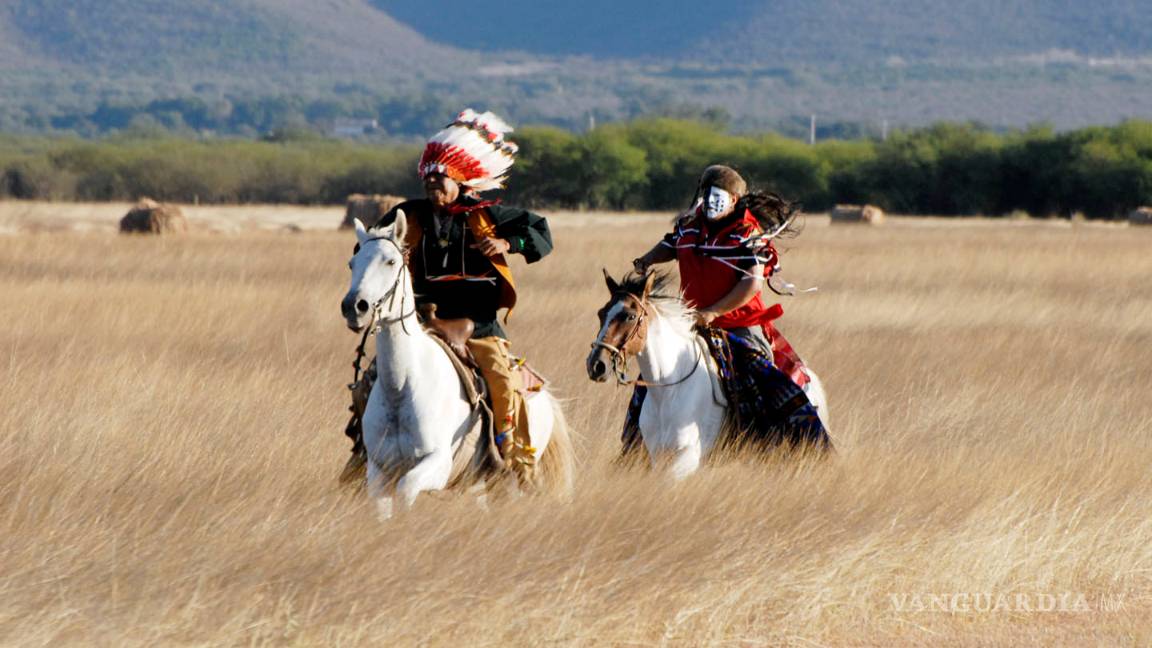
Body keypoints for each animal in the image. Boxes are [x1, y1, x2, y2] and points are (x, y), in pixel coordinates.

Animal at [340, 213, 576, 514]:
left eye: (390, 261)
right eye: (352, 263)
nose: (354, 307)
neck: (402, 387)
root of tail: (543, 393)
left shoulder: (437, 463)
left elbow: (407, 489)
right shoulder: (378, 473)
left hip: (512, 478)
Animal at [585, 269, 829, 477]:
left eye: (630, 316)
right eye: (600, 313)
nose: (596, 365)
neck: (669, 392)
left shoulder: (685, 459)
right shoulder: (657, 455)